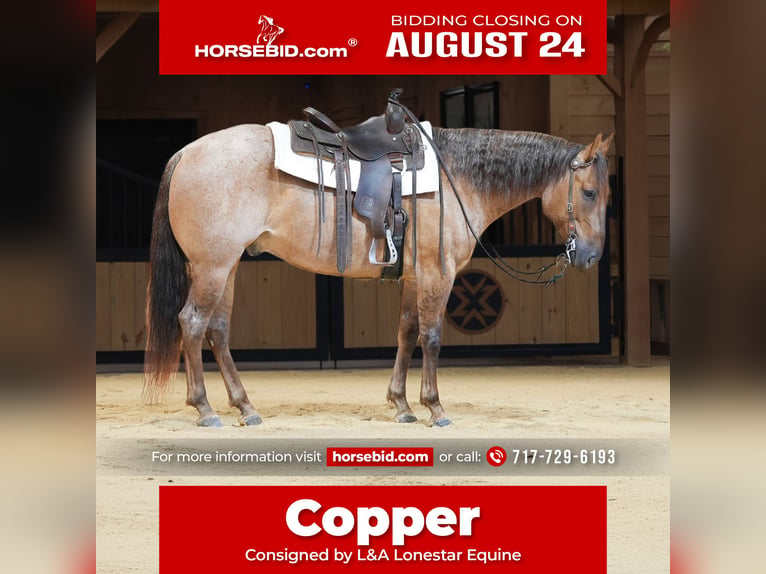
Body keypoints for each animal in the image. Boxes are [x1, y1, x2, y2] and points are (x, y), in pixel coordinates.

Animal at [143, 122, 613, 427]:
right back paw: (205, 409)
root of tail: (187, 152)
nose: (591, 257)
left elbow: (406, 332)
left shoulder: (414, 278)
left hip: (227, 267)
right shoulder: (438, 275)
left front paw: (402, 405)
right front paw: (435, 408)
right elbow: (432, 337)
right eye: (589, 192)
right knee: (192, 323)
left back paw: (245, 407)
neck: (457, 179)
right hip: (213, 267)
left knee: (217, 330)